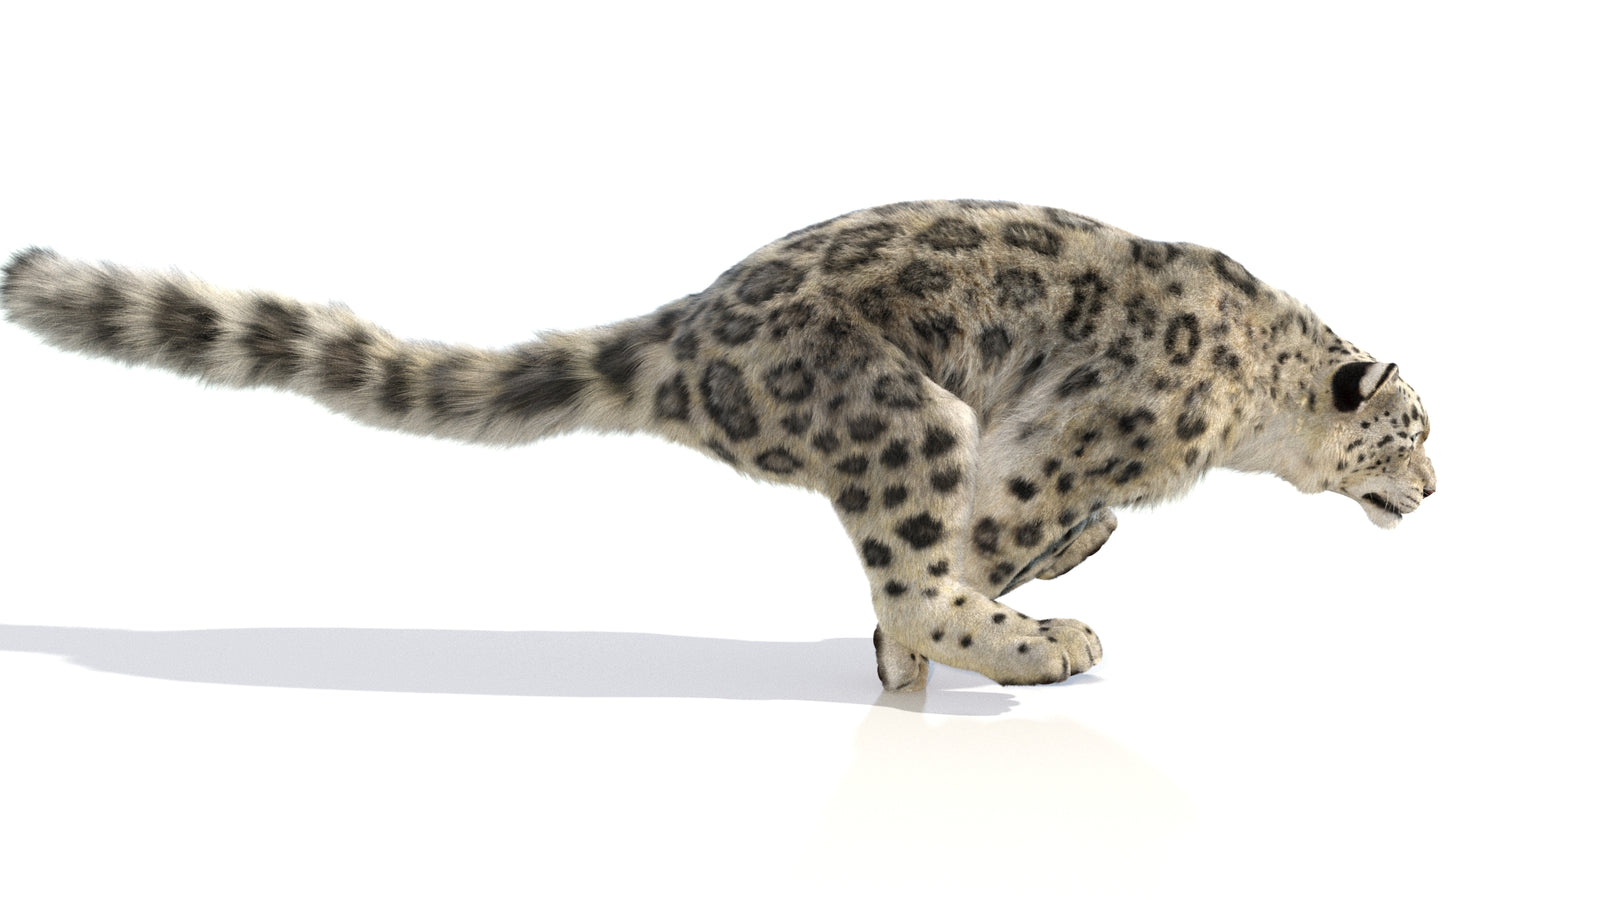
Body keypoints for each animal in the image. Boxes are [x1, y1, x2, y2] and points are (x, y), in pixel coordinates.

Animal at [0, 200, 1437, 691]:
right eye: (1412, 433)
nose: (1435, 487)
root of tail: (686, 328)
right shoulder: (1064, 443)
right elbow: (996, 532)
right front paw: (979, 627)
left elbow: (1062, 529)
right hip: (900, 409)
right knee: (914, 567)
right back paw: (1033, 649)